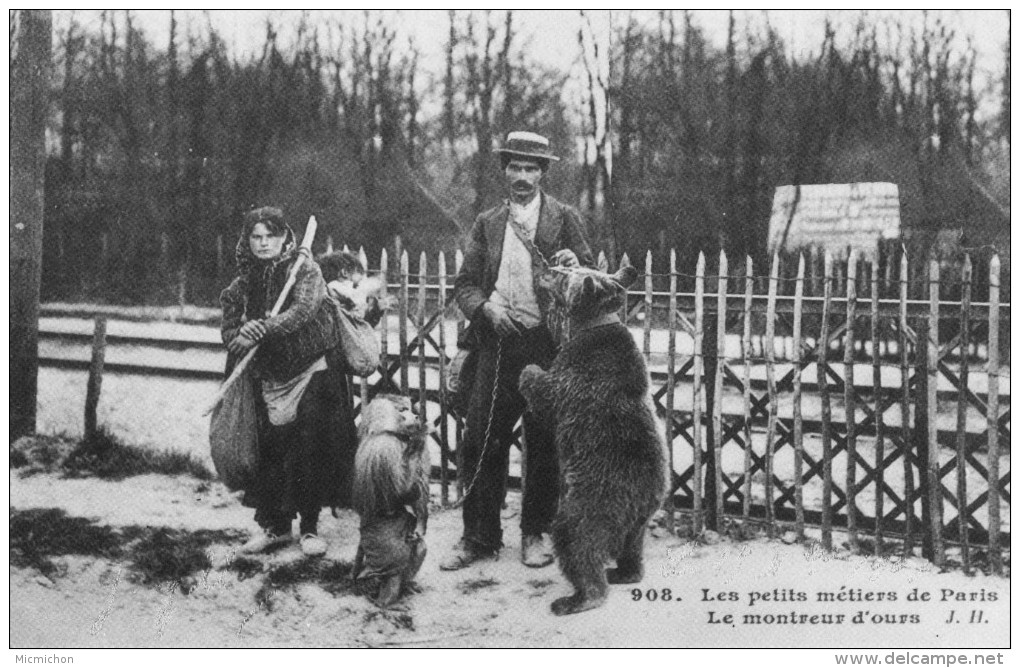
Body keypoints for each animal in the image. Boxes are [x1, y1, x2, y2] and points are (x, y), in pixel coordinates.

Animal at [518, 265, 669, 615]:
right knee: (632, 548)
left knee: (577, 545)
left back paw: (577, 597)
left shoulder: (575, 377)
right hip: (640, 519)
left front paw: (528, 369)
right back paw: (624, 572)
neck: (594, 323)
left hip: (588, 505)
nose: (548, 267)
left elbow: (546, 392)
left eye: (564, 274)